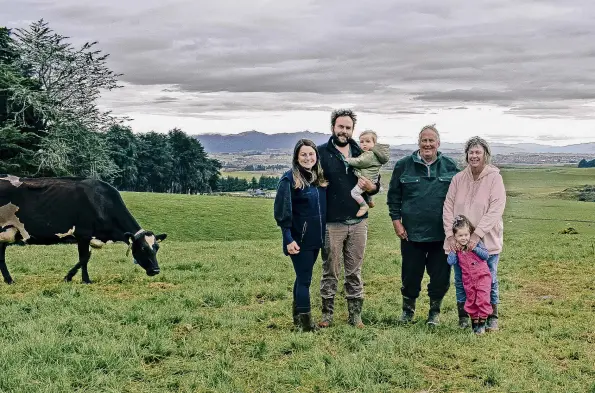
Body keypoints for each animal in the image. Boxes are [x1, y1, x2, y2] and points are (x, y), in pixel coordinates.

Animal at [0, 175, 168, 282]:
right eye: (143, 248)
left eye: (156, 247)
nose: (156, 270)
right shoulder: (83, 233)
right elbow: (84, 257)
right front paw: (81, 279)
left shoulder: (89, 237)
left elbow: (87, 256)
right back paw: (9, 280)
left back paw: (9, 280)